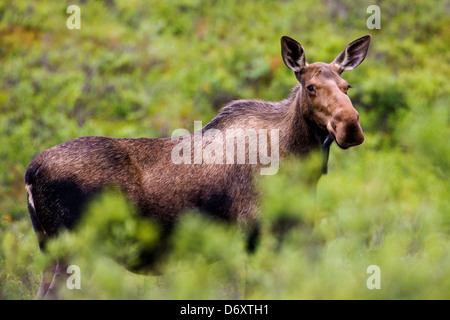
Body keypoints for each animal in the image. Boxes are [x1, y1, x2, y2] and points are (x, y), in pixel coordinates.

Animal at [24, 34, 370, 298]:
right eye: (311, 87)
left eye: (347, 86)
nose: (350, 125)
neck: (298, 163)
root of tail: (31, 172)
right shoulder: (247, 236)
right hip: (75, 248)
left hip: (49, 249)